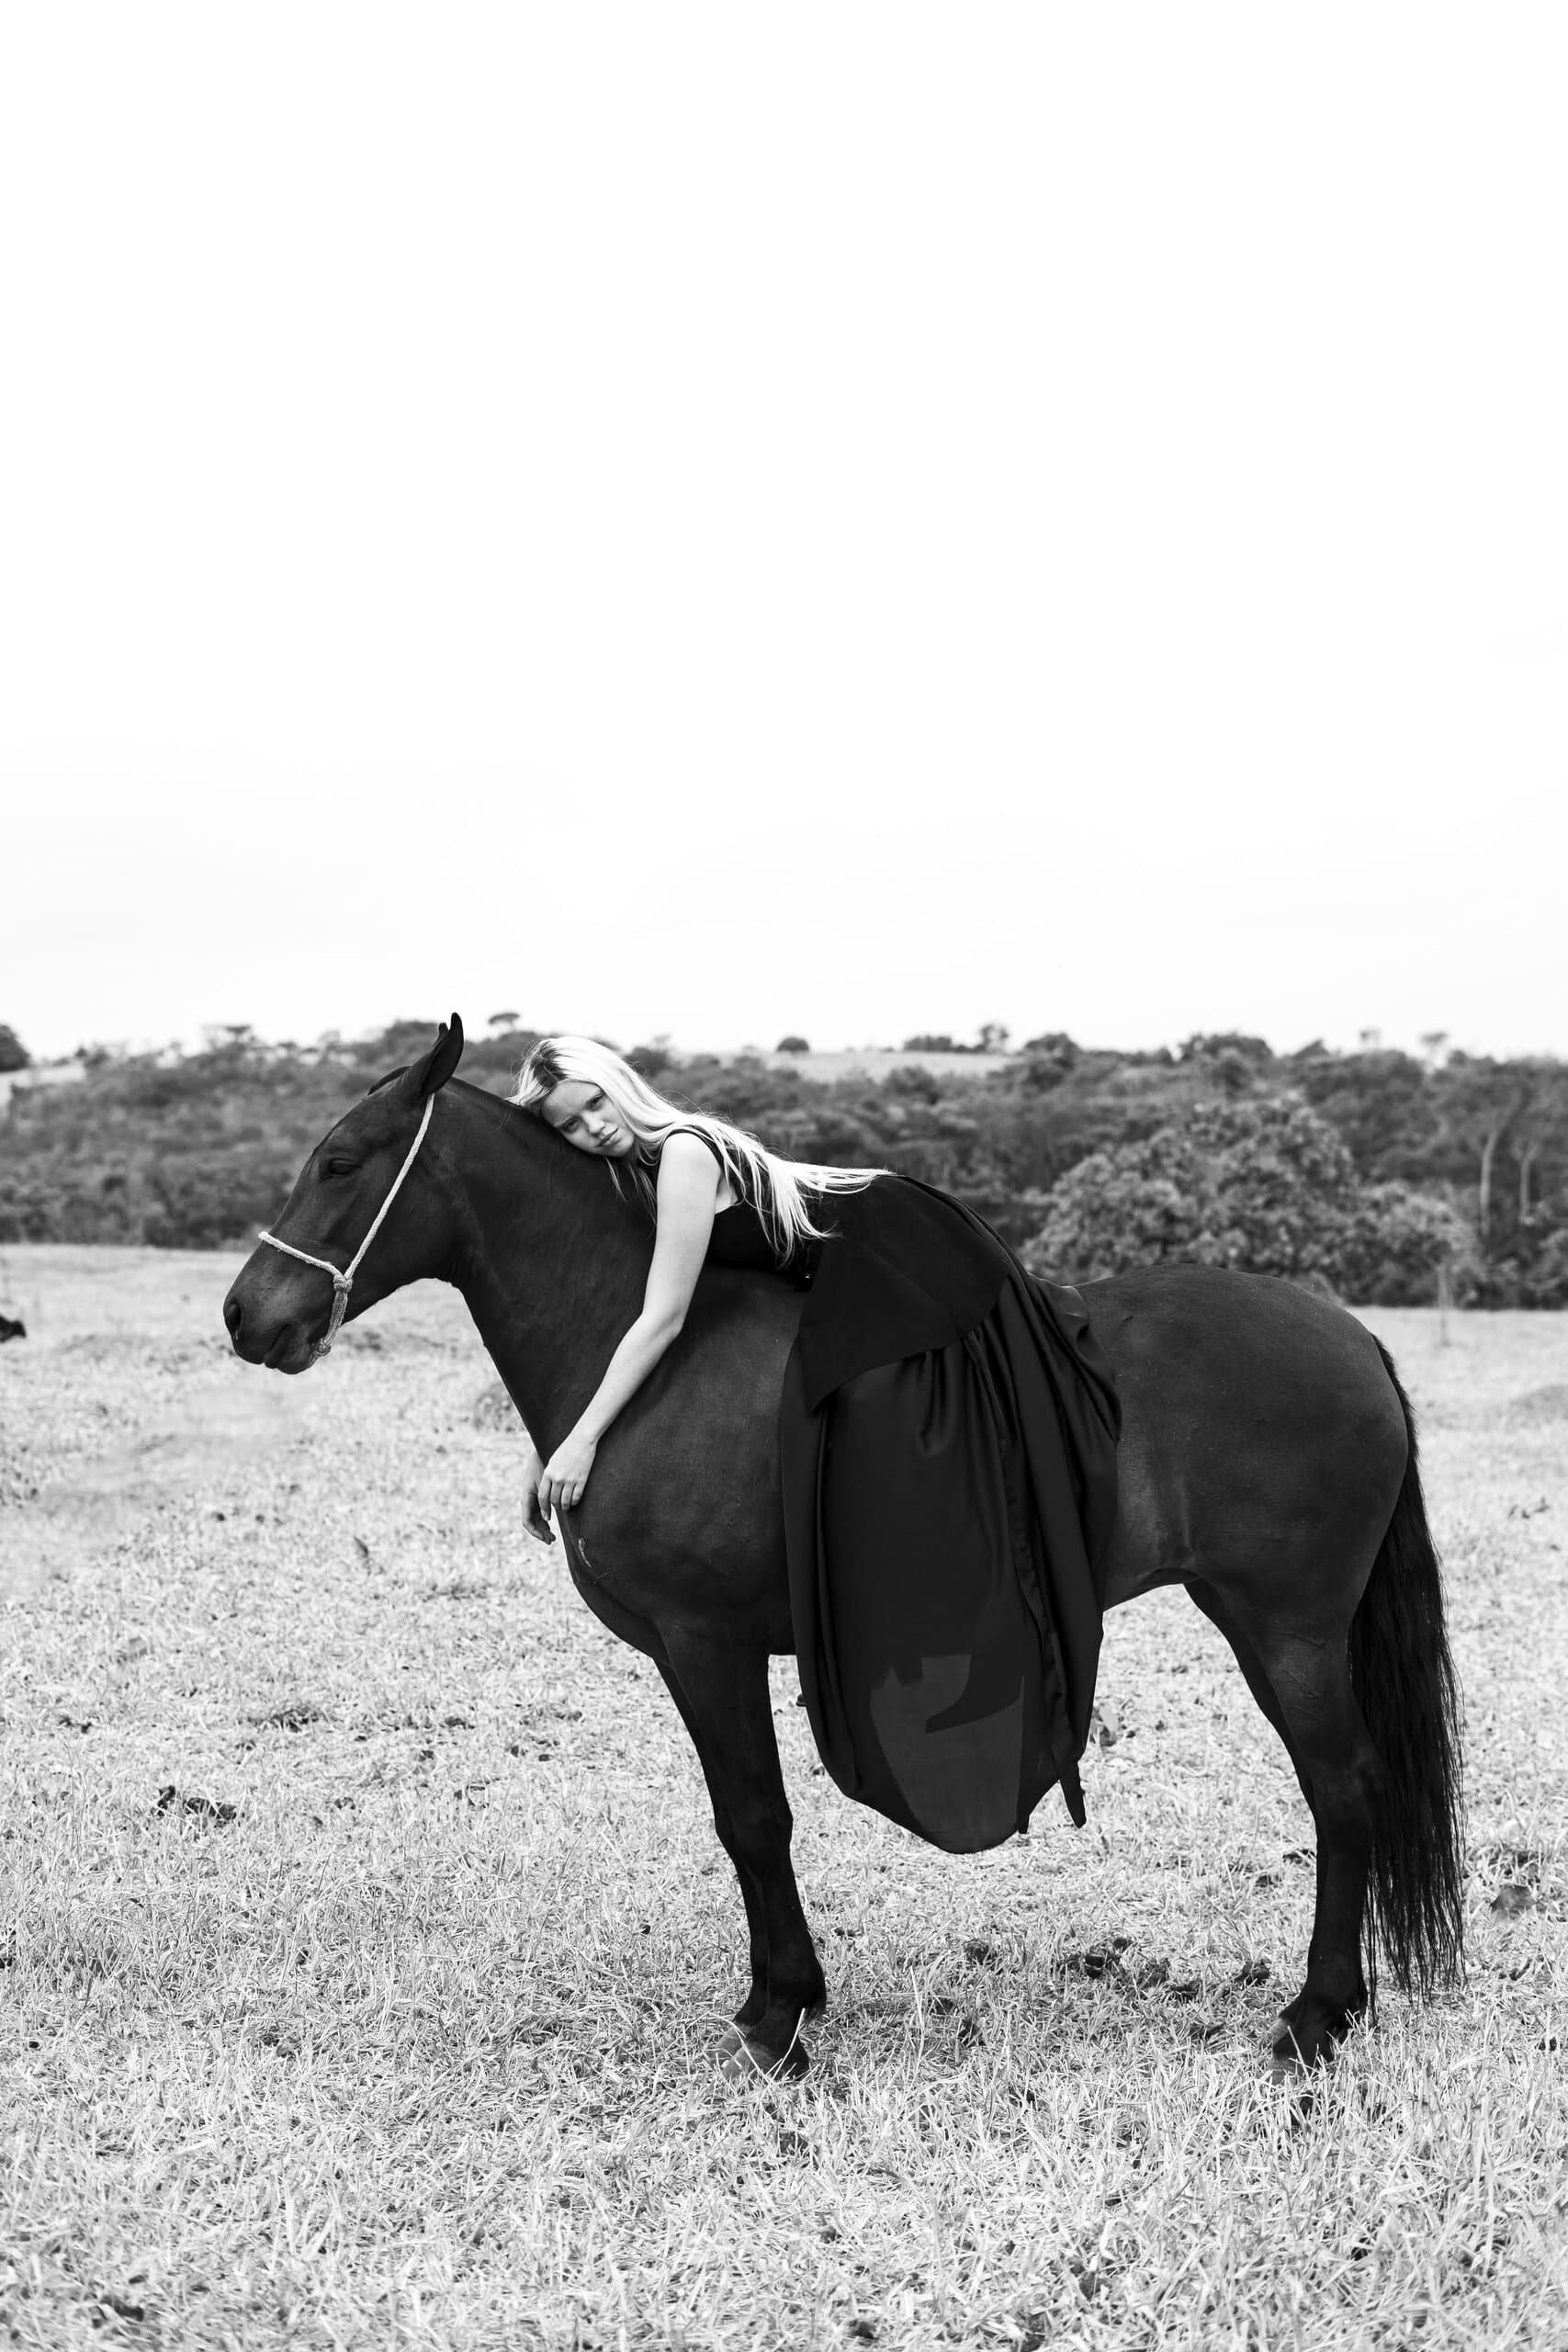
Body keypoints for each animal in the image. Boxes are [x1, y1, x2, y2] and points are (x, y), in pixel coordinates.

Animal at [222, 1017, 1464, 2080]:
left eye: (341, 1161)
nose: (245, 1316)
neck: (648, 1355)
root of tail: (1355, 1339)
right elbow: (748, 1819)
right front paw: (786, 1997)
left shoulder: (705, 1643)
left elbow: (752, 1817)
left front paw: (779, 2017)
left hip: (1286, 1627)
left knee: (1344, 1790)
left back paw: (1316, 2017)